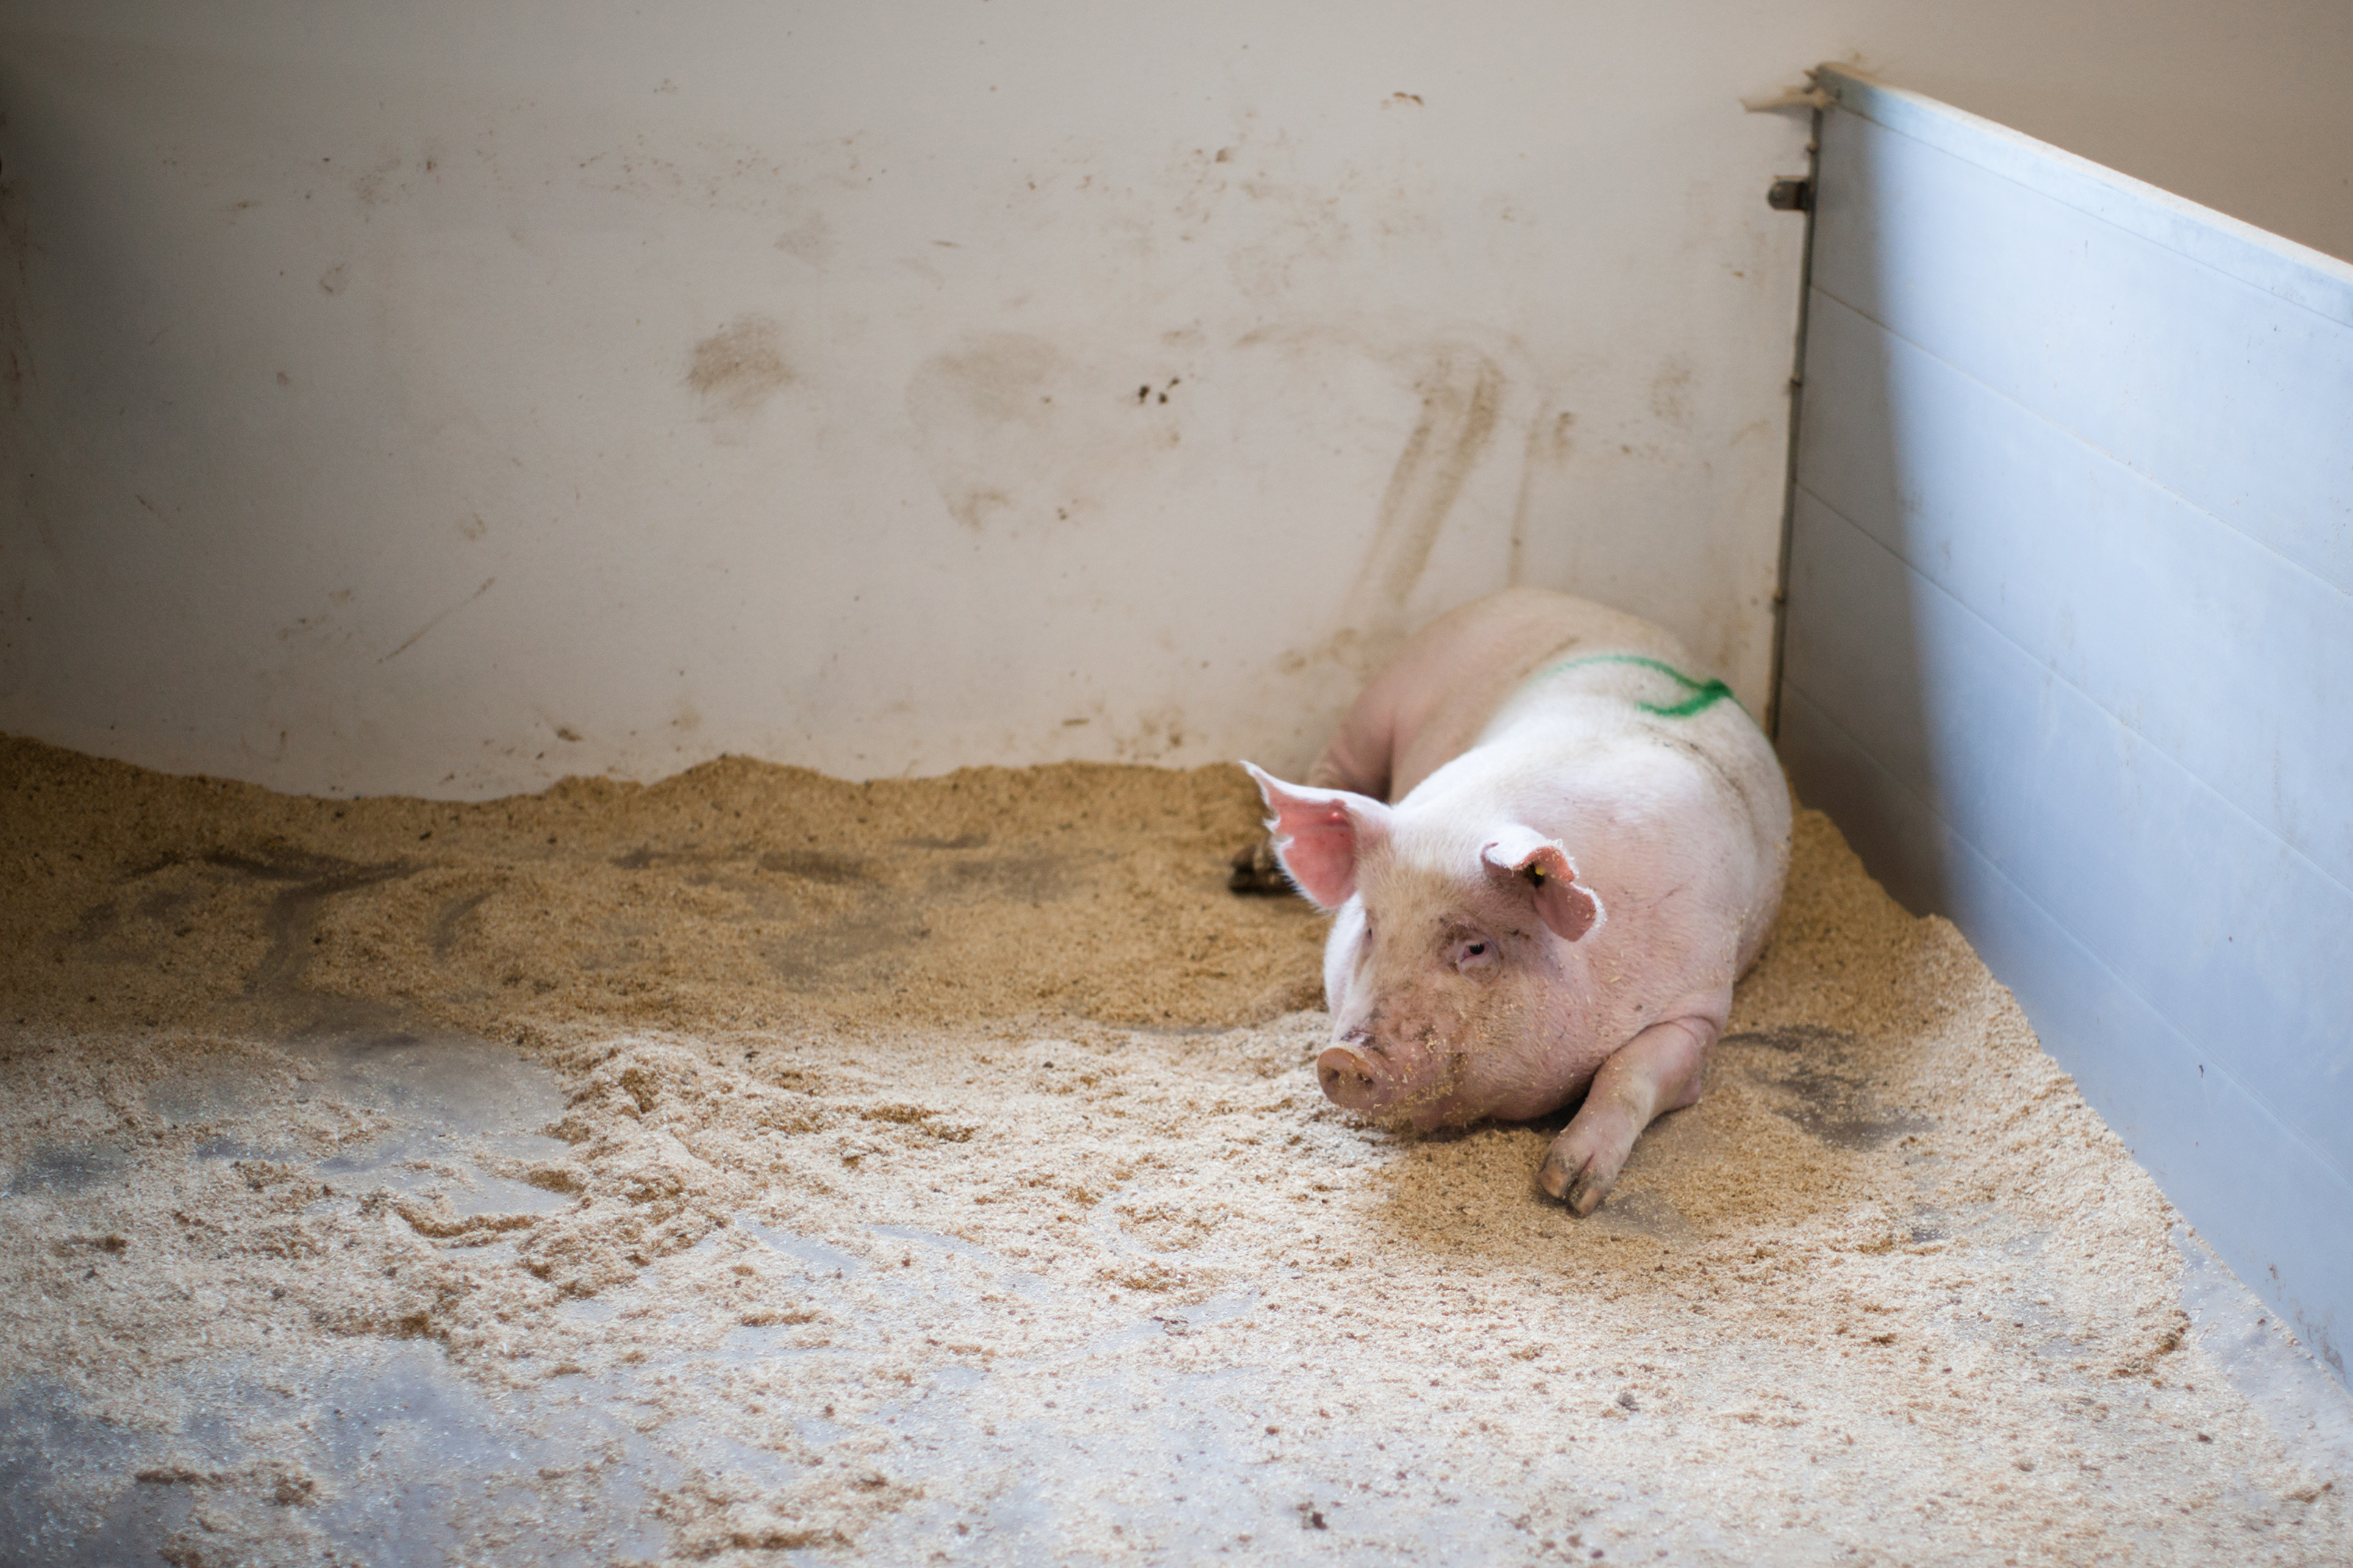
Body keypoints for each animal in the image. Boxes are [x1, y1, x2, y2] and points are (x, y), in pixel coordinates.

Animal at [1243, 588, 1790, 1214]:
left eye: (1476, 947)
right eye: (1372, 928)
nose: (1345, 1059)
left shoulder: (1701, 999)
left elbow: (1631, 1070)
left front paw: (1566, 1188)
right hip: (1379, 703)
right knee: (1335, 767)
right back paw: (1247, 868)